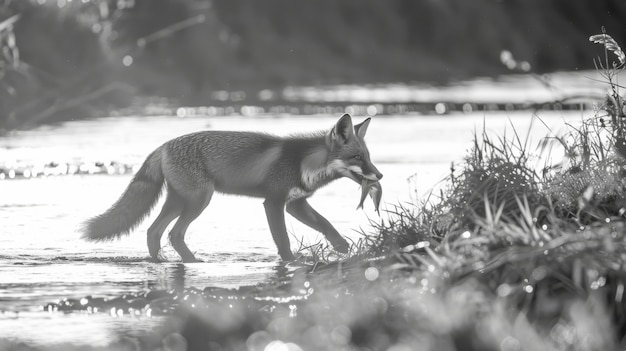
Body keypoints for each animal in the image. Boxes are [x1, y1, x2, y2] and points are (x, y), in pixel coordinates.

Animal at [80, 114, 382, 262]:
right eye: (357, 158)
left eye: (368, 157)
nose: (379, 175)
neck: (302, 163)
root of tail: (162, 146)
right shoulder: (274, 202)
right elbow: (282, 240)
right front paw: (290, 261)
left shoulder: (296, 204)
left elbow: (326, 224)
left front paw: (342, 247)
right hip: (200, 200)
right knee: (174, 234)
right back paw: (192, 261)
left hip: (178, 201)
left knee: (154, 232)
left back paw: (162, 261)